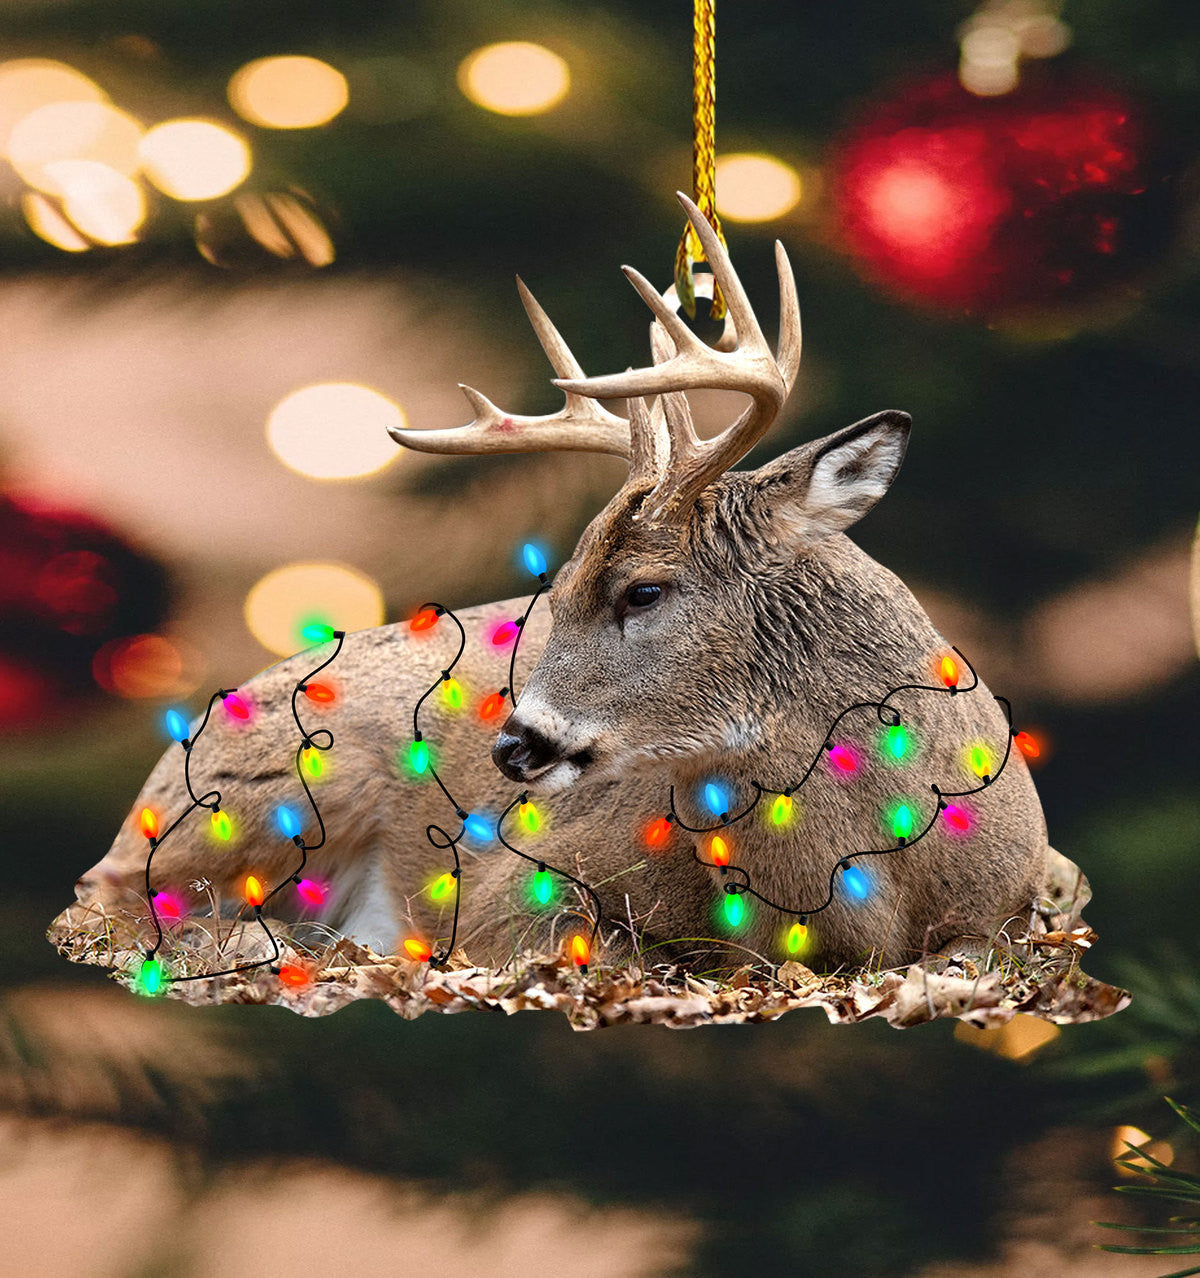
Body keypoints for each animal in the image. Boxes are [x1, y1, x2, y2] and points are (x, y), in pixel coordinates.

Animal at [66, 194, 1052, 977]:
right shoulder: (517, 885)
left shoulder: (1031, 891)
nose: (512, 748)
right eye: (560, 582)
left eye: (642, 591)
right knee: (112, 895)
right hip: (281, 784)